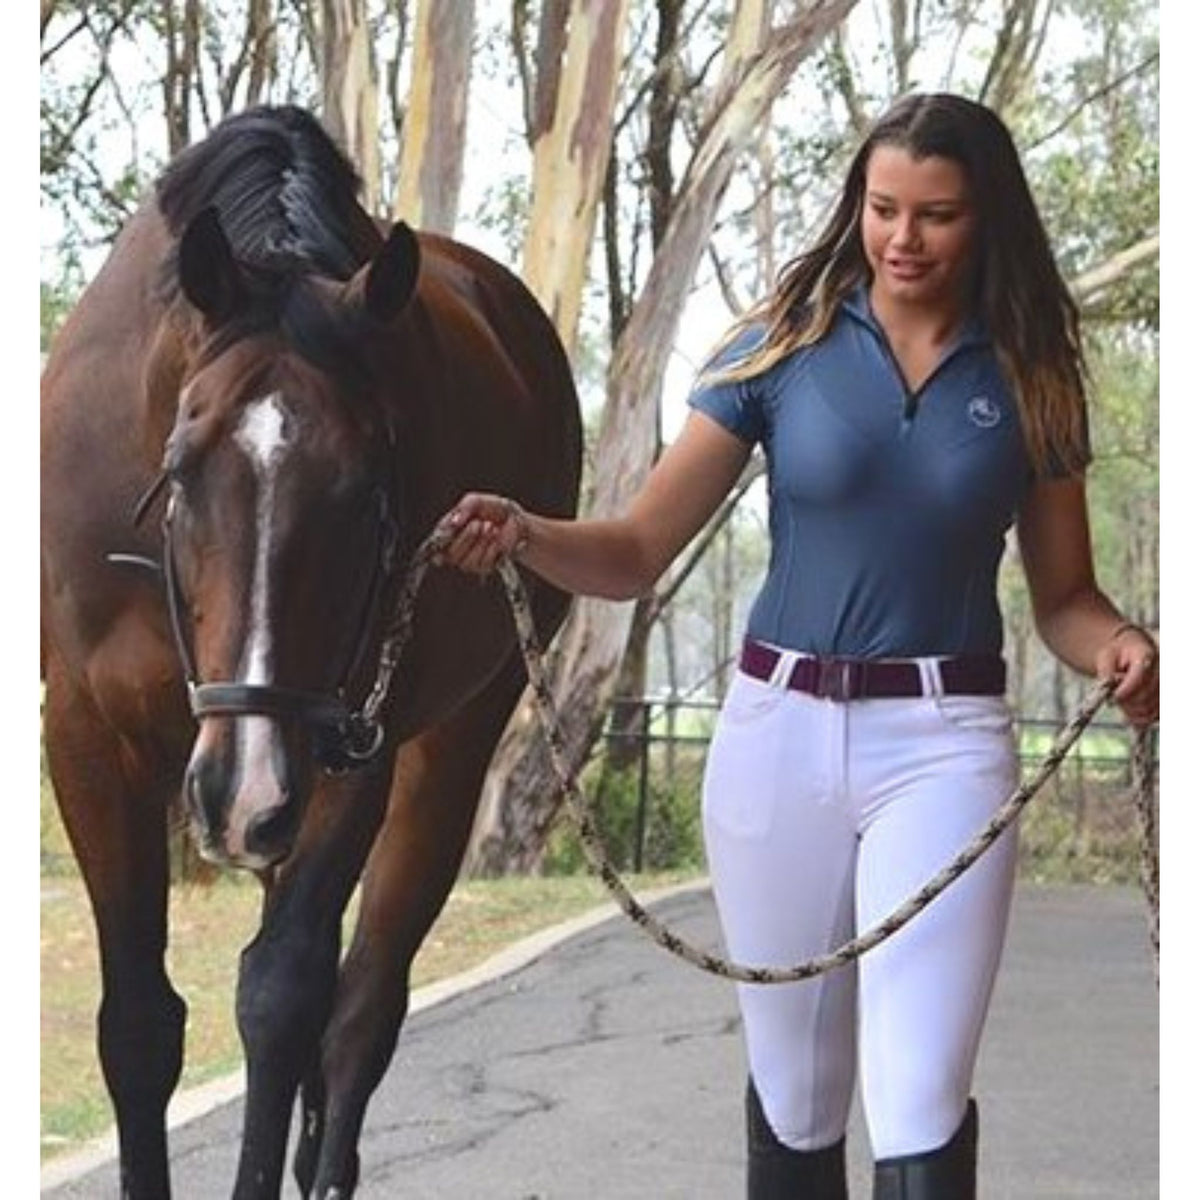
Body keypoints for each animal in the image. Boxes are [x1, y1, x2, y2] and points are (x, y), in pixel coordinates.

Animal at [38, 105, 580, 1200]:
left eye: (370, 489)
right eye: (180, 467)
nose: (242, 797)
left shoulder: (348, 736)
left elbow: (282, 999)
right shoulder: (86, 735)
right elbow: (139, 1025)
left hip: (446, 749)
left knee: (361, 1005)